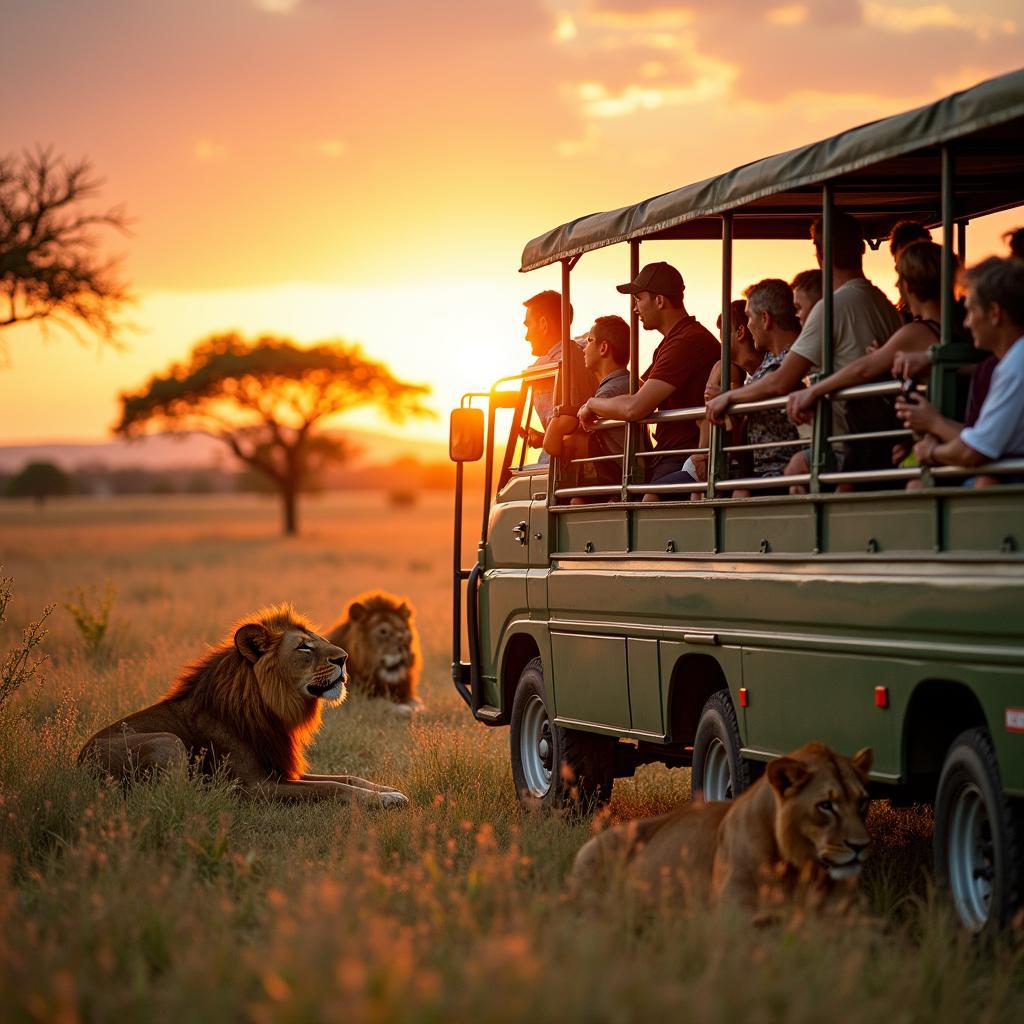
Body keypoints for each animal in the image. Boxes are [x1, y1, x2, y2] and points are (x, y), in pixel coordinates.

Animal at [78, 598, 407, 806]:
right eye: (303, 647)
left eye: (320, 640)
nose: (344, 658)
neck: (273, 709)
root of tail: (77, 768)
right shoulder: (257, 786)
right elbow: (332, 786)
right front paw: (381, 799)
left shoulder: (282, 770)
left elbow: (349, 777)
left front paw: (390, 792)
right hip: (168, 741)